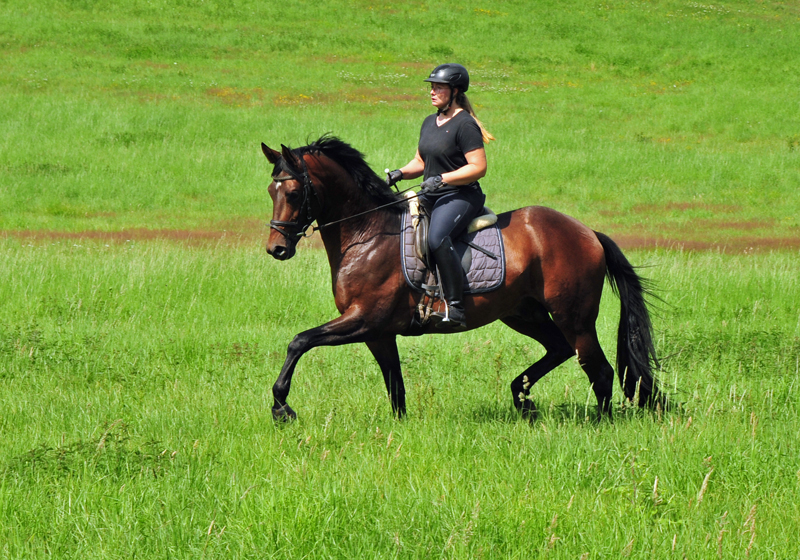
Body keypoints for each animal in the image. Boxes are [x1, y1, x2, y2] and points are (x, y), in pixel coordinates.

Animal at [260, 136, 660, 422]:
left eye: (293, 193)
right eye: (271, 191)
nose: (276, 248)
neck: (367, 234)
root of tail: (588, 233)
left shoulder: (364, 319)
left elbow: (299, 342)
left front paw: (282, 406)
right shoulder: (378, 333)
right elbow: (395, 387)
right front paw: (400, 427)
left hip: (574, 318)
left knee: (600, 370)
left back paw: (598, 425)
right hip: (523, 313)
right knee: (559, 350)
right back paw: (522, 397)